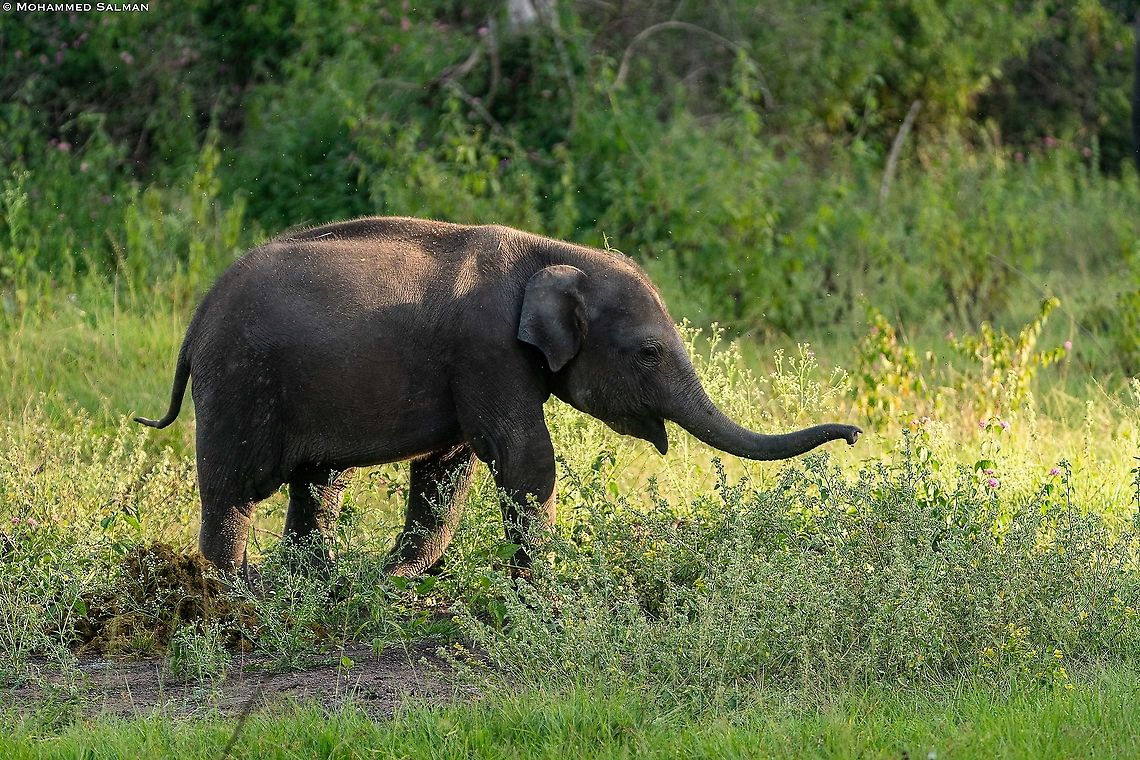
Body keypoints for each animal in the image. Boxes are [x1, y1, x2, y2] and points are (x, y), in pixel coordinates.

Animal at [136, 217, 861, 576]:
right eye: (649, 353)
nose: (854, 435)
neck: (553, 255)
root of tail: (194, 324)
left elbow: (447, 469)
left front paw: (401, 583)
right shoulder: (487, 351)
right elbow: (522, 457)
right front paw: (541, 589)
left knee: (319, 484)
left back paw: (317, 586)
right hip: (239, 380)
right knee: (236, 486)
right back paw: (239, 592)